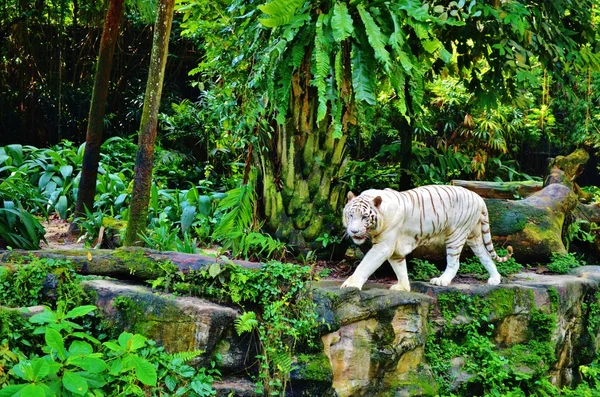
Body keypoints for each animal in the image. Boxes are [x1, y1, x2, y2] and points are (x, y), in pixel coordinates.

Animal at [340, 186, 512, 290]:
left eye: (364, 217)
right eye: (350, 215)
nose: (354, 231)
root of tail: (479, 198)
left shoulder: (384, 246)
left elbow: (365, 264)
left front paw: (351, 285)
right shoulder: (395, 249)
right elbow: (400, 268)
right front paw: (403, 287)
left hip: (456, 235)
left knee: (454, 263)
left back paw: (442, 280)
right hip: (474, 236)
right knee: (485, 256)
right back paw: (495, 279)